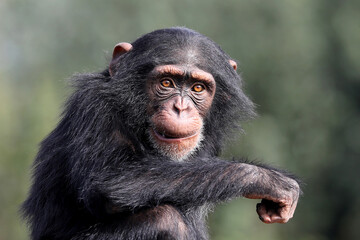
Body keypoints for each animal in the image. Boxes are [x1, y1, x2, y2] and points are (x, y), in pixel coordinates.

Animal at [20, 27, 300, 239]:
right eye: (167, 83)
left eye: (198, 88)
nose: (180, 107)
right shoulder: (93, 106)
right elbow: (109, 179)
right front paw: (268, 180)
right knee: (164, 219)